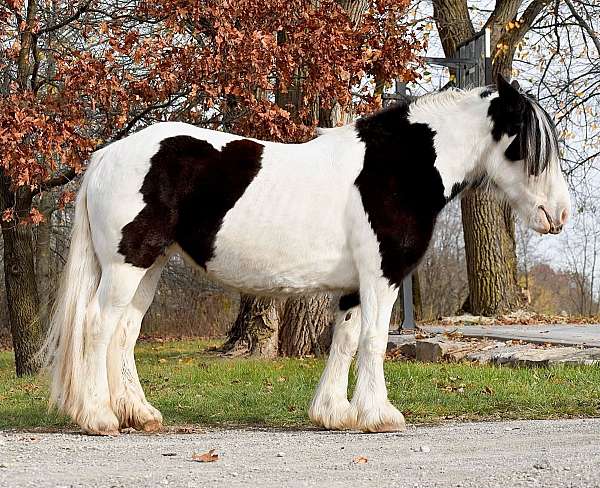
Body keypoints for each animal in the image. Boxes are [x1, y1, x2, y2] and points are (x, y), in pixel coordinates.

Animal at [43, 75, 572, 434]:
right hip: (126, 264)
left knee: (124, 331)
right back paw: (98, 417)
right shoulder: (383, 276)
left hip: (148, 266)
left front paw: (334, 413)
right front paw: (380, 414)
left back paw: (139, 413)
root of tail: (106, 155)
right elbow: (373, 341)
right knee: (96, 325)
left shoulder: (356, 285)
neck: (397, 168)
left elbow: (345, 340)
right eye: (527, 148)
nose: (560, 214)